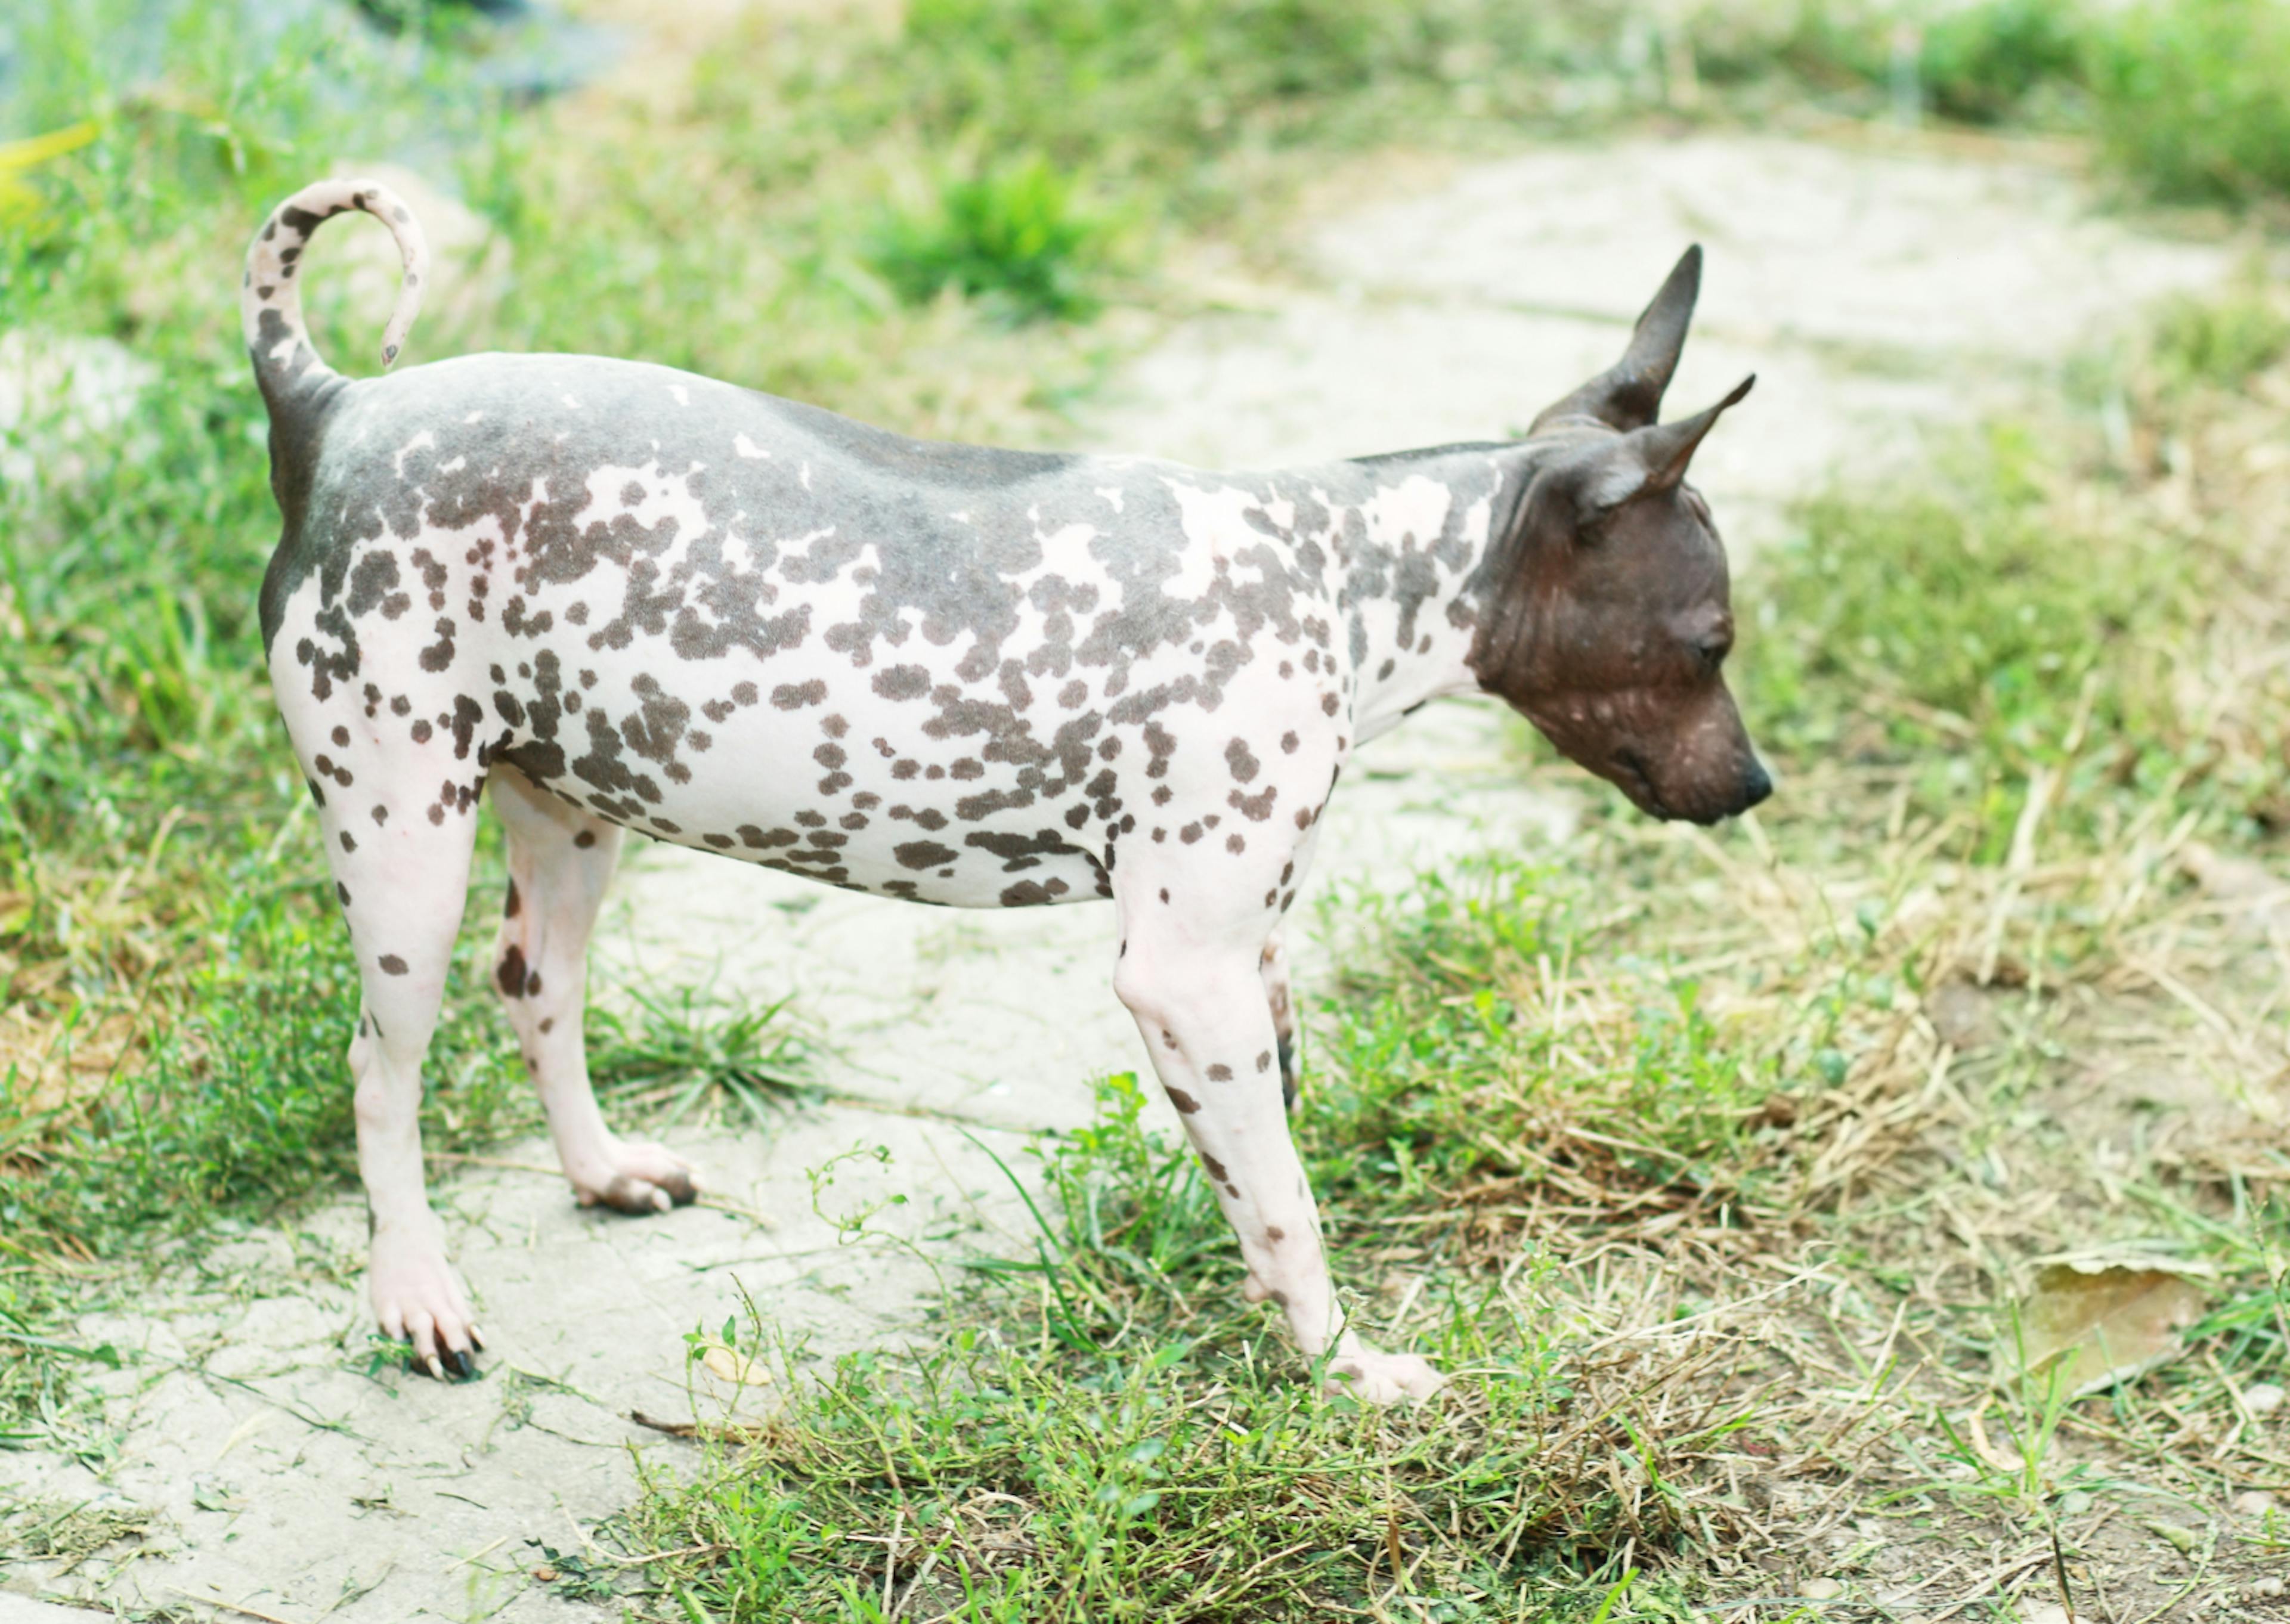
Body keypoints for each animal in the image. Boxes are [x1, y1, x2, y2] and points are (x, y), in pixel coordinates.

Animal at [242, 173, 1768, 1392]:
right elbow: (1287, 1206)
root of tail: (332, 403)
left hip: (565, 818)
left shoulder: (1252, 964)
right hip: (402, 852)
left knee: (534, 989)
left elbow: (1269, 1169)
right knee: (379, 1072)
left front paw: (1291, 1332)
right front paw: (1350, 1373)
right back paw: (415, 1296)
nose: (1755, 786)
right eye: (1711, 642)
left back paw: (600, 1171)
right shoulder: (1188, 978)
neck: (1329, 573)